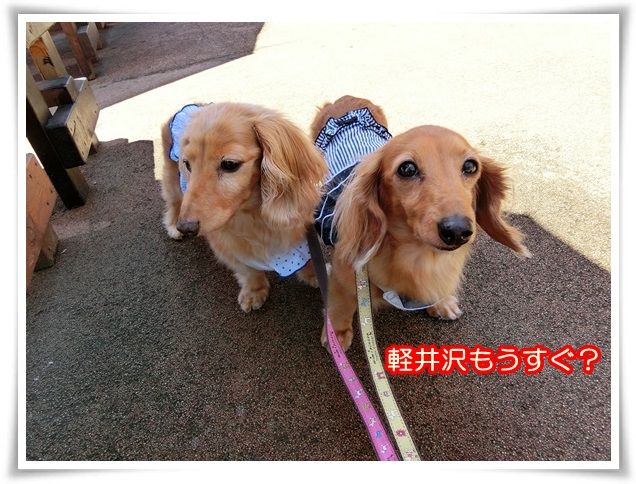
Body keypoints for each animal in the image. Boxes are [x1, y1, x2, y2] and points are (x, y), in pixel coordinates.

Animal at [161, 102, 328, 312]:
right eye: (187, 164)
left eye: (229, 164)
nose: (187, 227)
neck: (252, 214)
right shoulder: (227, 247)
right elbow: (248, 270)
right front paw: (254, 291)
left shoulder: (298, 232)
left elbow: (308, 260)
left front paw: (315, 275)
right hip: (173, 183)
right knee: (174, 202)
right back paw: (173, 226)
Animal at [310, 96, 530, 350]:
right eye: (407, 168)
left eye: (470, 166)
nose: (457, 230)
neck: (419, 257)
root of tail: (344, 99)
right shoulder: (343, 272)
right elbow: (341, 304)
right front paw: (337, 335)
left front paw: (441, 303)